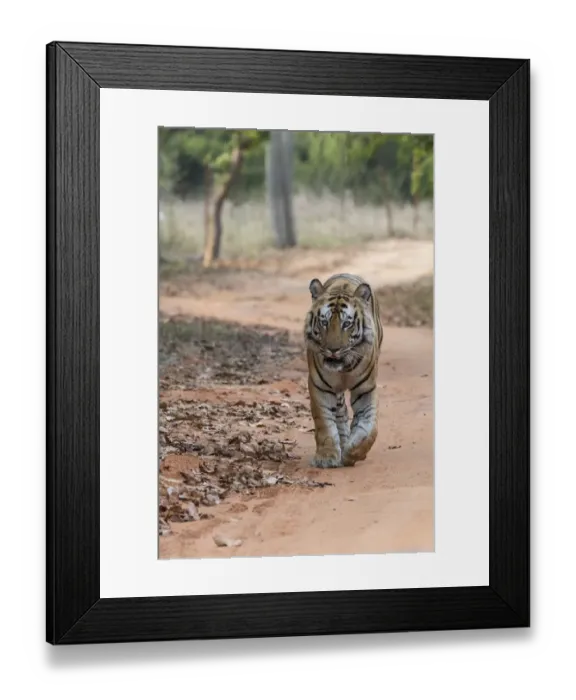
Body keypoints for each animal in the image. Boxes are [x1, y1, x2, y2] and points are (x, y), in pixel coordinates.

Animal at [304, 273, 383, 468]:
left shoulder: (366, 389)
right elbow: (325, 422)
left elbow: (369, 427)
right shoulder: (320, 387)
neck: (344, 368)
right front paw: (326, 456)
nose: (333, 349)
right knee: (340, 414)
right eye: (324, 322)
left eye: (347, 323)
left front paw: (354, 453)